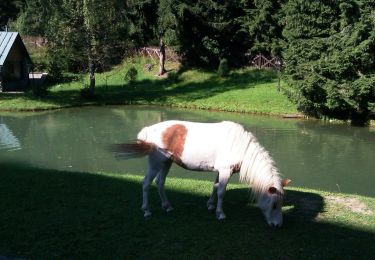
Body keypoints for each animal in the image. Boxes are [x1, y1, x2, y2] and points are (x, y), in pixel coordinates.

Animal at [114, 120, 290, 228]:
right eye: (274, 204)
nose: (278, 225)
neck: (239, 146)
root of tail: (149, 130)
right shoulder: (225, 170)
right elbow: (221, 192)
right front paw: (220, 214)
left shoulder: (221, 171)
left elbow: (215, 187)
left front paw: (211, 205)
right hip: (156, 162)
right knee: (146, 184)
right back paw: (146, 210)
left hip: (166, 162)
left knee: (160, 183)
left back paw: (167, 206)